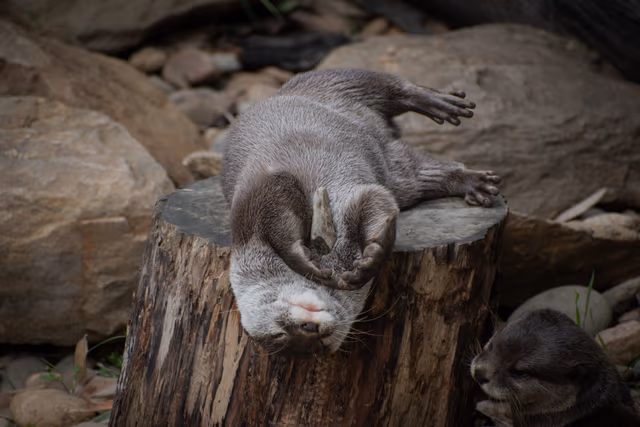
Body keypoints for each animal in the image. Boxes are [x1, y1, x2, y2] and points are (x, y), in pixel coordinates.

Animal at [221, 68, 501, 356]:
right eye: (281, 336)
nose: (309, 331)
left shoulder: (263, 194)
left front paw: (363, 263)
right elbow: (378, 204)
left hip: (331, 83)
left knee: (379, 83)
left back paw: (437, 102)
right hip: (399, 173)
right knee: (422, 169)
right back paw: (472, 182)